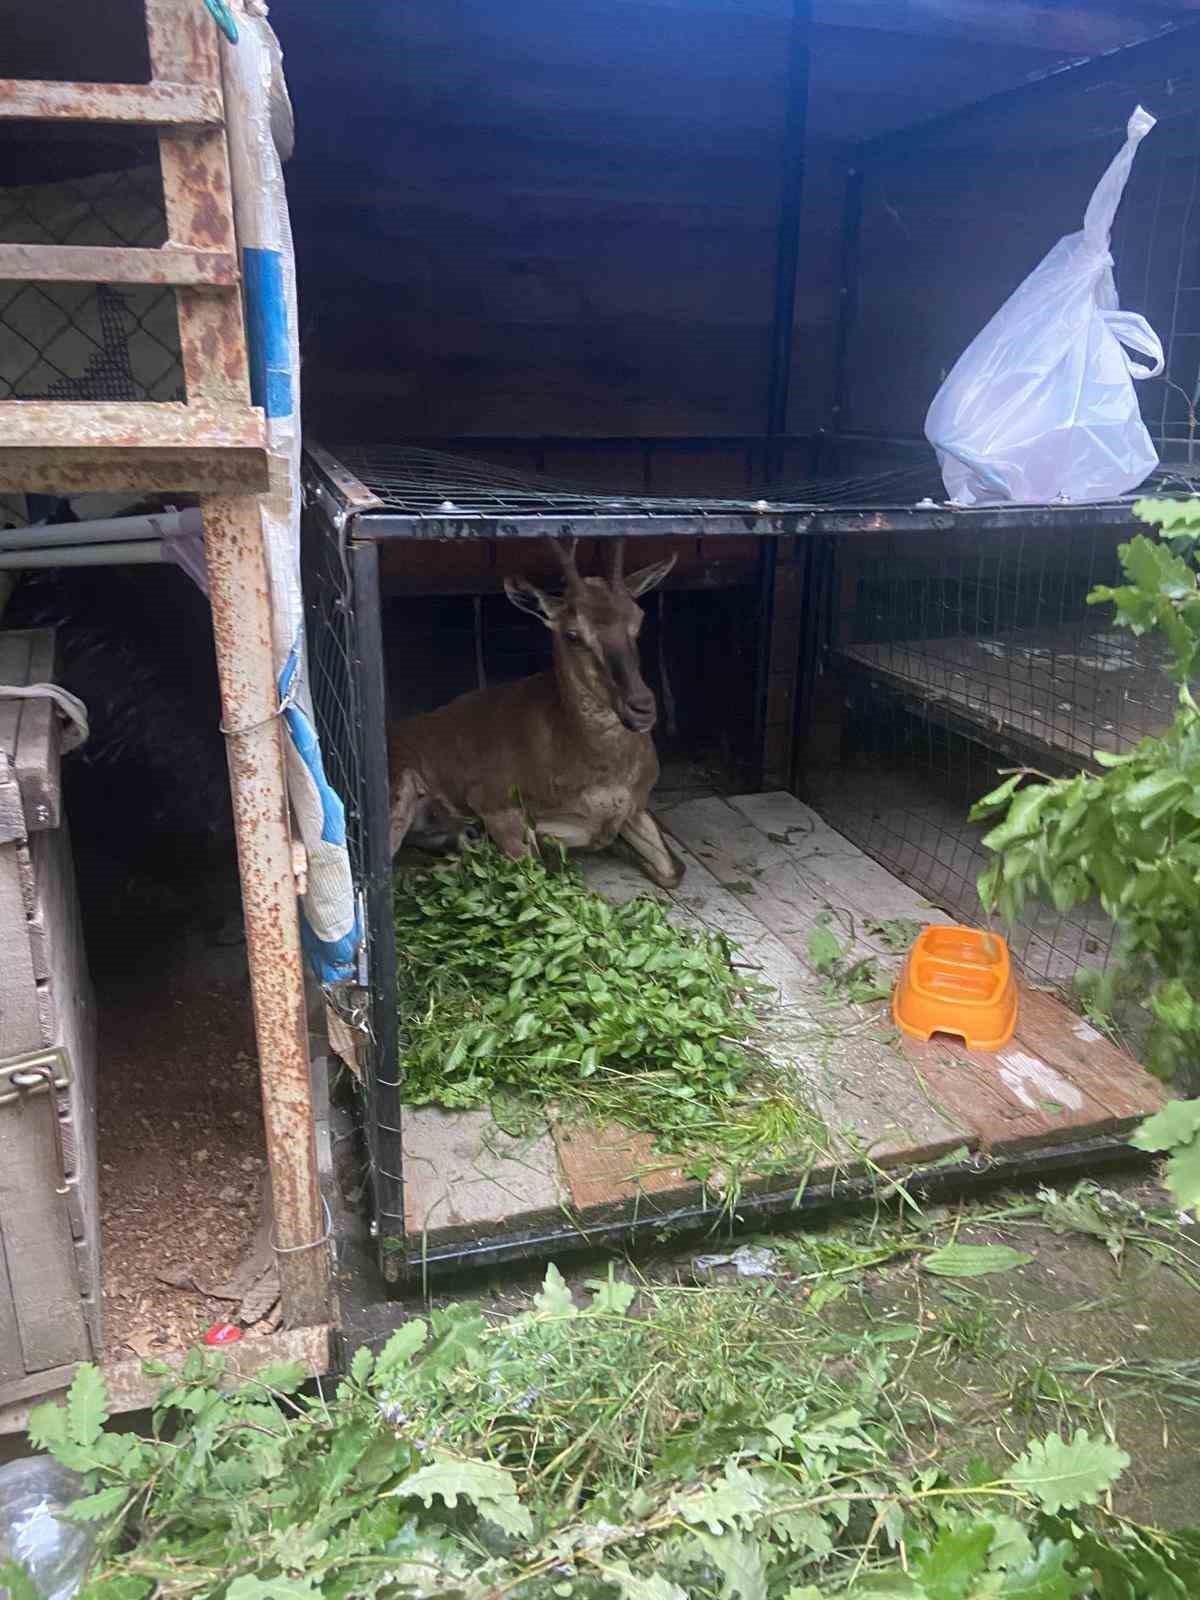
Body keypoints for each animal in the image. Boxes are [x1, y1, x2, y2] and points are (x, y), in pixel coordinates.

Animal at [385, 537, 684, 889]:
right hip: (400, 788)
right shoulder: (495, 802)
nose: (641, 706)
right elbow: (535, 870)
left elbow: (672, 871)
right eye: (572, 634)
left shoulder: (636, 808)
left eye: (638, 619)